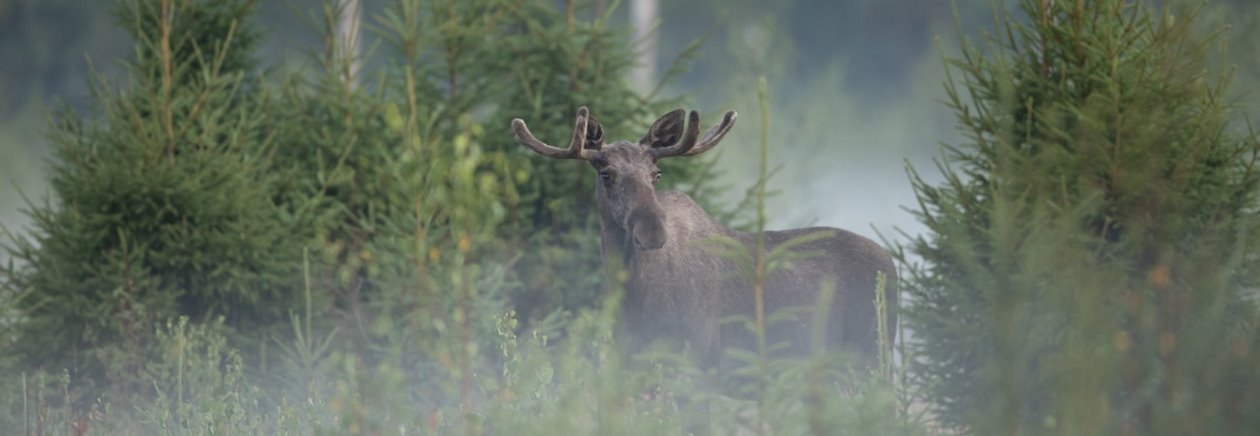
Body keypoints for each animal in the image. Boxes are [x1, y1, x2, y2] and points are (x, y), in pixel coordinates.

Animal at [511, 106, 897, 367]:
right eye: (606, 174)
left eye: (657, 173)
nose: (653, 230)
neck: (631, 289)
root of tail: (892, 263)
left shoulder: (702, 355)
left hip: (872, 355)